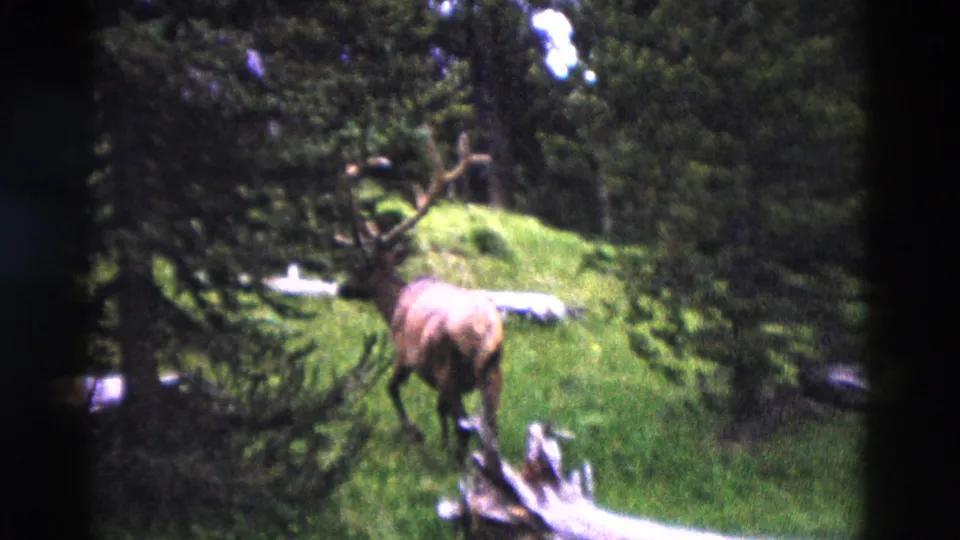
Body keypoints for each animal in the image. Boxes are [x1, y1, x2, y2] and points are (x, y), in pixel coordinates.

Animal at [333, 127, 502, 462]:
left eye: (361, 268)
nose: (341, 288)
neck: (393, 302)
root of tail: (487, 333)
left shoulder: (404, 353)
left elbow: (392, 388)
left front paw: (415, 432)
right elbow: (440, 411)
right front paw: (439, 441)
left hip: (449, 368)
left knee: (466, 427)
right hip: (492, 373)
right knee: (490, 430)